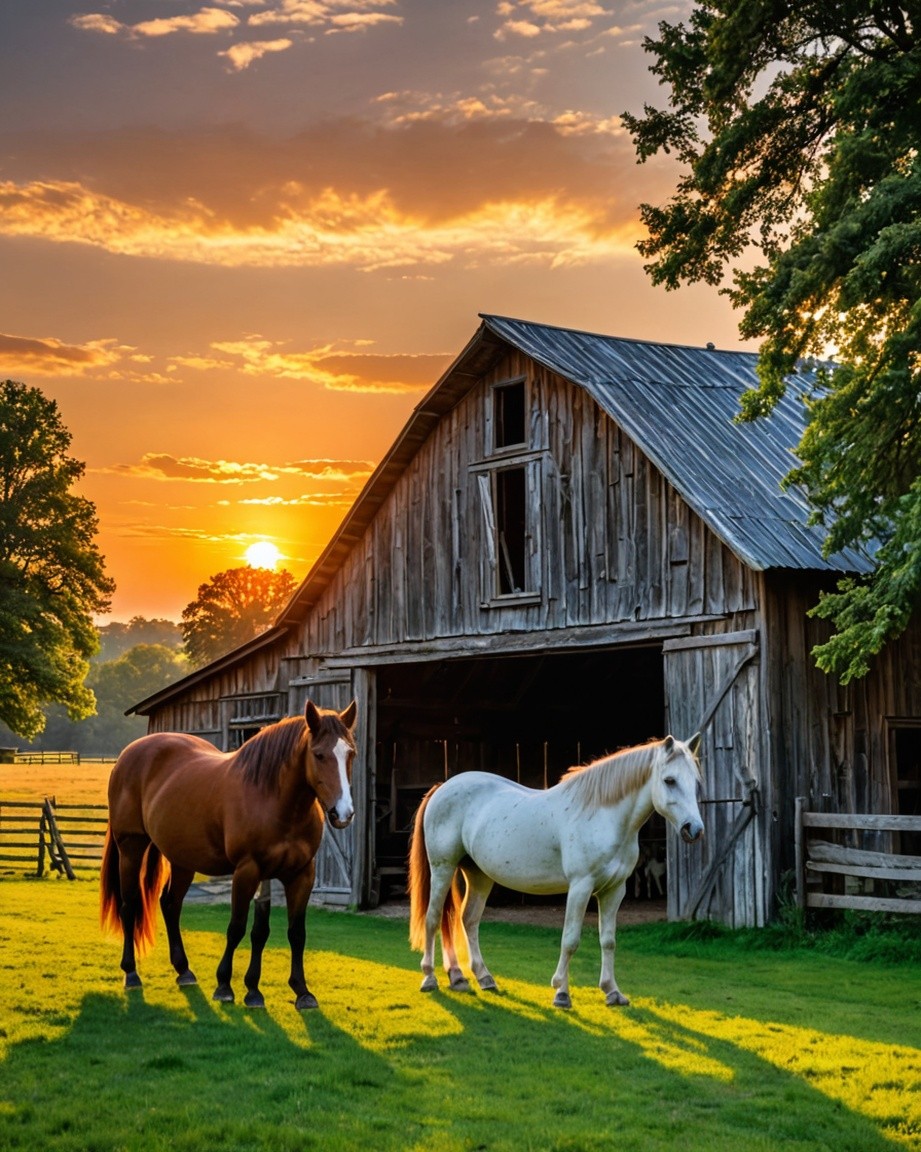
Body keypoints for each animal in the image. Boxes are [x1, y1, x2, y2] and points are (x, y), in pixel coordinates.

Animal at [100, 699, 357, 1010]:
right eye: (319, 755)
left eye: (351, 753)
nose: (342, 814)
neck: (271, 797)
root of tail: (127, 755)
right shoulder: (247, 871)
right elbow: (237, 927)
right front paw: (225, 985)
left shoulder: (300, 874)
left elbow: (284, 932)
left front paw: (292, 991)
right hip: (131, 848)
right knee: (129, 906)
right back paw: (131, 973)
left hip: (183, 860)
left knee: (171, 905)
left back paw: (184, 970)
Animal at [408, 734, 703, 1009]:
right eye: (669, 780)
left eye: (697, 783)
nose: (694, 829)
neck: (602, 816)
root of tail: (443, 787)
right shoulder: (581, 887)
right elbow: (570, 940)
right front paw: (561, 993)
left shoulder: (614, 891)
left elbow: (608, 940)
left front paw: (612, 991)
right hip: (443, 867)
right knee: (434, 918)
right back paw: (430, 978)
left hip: (478, 874)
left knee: (467, 919)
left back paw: (476, 978)